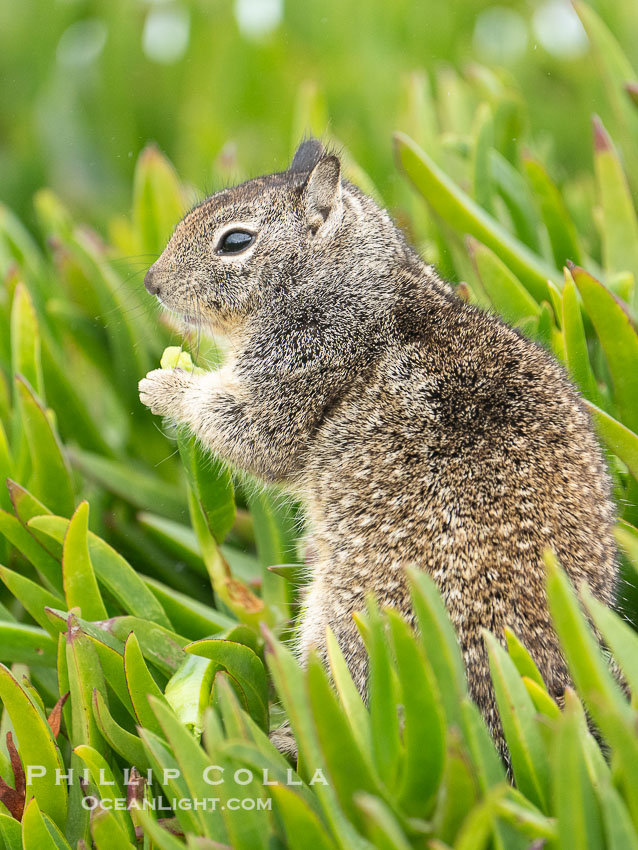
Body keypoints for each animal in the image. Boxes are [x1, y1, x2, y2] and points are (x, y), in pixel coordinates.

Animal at [140, 137, 620, 756]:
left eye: (236, 241)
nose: (151, 282)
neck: (350, 283)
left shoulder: (299, 366)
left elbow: (256, 437)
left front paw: (166, 386)